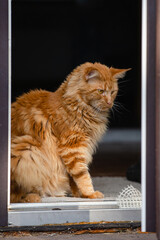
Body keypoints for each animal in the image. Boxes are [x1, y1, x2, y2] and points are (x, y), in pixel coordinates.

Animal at [10, 62, 129, 202]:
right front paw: (90, 194)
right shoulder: (72, 148)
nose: (110, 102)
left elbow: (73, 178)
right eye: (100, 91)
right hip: (27, 150)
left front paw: (78, 194)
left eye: (113, 92)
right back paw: (35, 197)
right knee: (18, 194)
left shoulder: (76, 151)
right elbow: (82, 175)